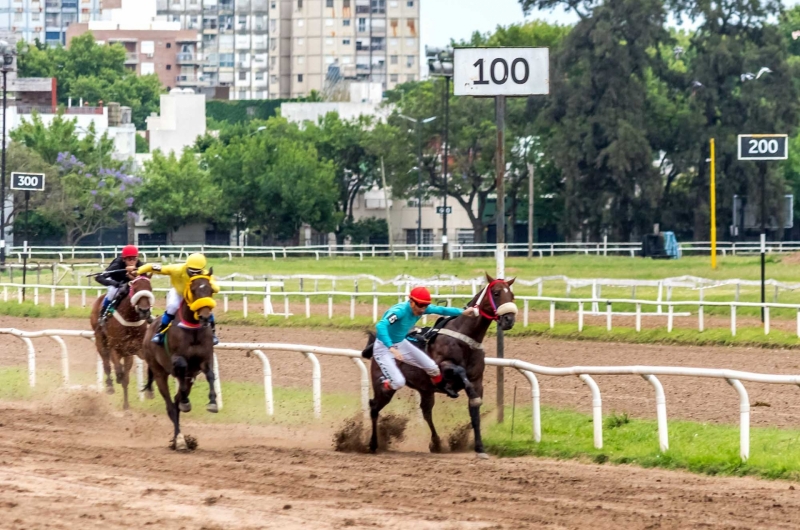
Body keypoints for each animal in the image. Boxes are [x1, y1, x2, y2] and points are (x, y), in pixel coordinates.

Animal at [89, 274, 155, 406]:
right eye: (135, 289)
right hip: (100, 340)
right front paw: (118, 377)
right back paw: (110, 386)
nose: (144, 311)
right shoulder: (115, 348)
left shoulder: (135, 349)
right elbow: (119, 370)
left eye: (150, 289)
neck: (130, 320)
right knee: (106, 363)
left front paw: (150, 391)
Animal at [139, 272, 217, 450]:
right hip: (158, 372)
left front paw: (213, 402)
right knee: (170, 406)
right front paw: (186, 402)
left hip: (189, 377)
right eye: (193, 290)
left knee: (176, 400)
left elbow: (210, 374)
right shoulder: (176, 359)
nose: (205, 317)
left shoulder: (205, 358)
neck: (193, 328)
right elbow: (181, 365)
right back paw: (180, 440)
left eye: (210, 290)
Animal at [362, 272, 520, 454]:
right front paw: (453, 388)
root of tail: (376, 344)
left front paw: (480, 447)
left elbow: (475, 413)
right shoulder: (441, 365)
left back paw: (436, 443)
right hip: (386, 382)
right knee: (374, 406)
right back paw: (373, 443)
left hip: (425, 389)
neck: (465, 338)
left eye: (512, 295)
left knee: (426, 412)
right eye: (496, 293)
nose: (509, 319)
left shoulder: (477, 381)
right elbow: (458, 371)